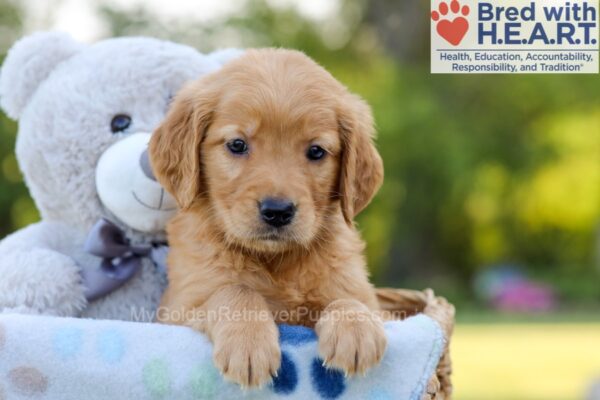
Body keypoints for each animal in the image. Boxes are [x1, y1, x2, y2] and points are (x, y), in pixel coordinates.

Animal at [148, 47, 386, 388]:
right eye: (237, 144)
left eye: (316, 151)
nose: (277, 211)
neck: (274, 261)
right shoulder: (180, 308)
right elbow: (235, 290)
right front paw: (247, 343)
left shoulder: (360, 293)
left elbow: (348, 299)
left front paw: (356, 328)